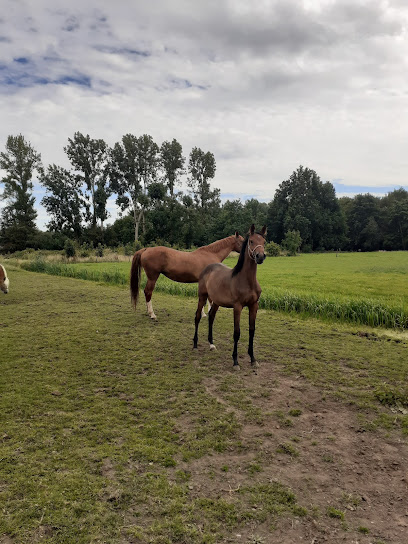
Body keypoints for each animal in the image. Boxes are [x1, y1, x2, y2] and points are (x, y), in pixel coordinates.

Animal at [194, 224, 268, 370]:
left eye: (263, 242)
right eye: (251, 241)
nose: (260, 256)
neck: (246, 281)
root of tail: (207, 268)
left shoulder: (254, 305)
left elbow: (252, 330)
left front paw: (253, 359)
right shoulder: (237, 307)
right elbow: (237, 332)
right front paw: (235, 361)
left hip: (216, 302)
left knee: (211, 317)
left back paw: (211, 344)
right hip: (202, 297)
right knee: (198, 316)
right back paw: (194, 344)